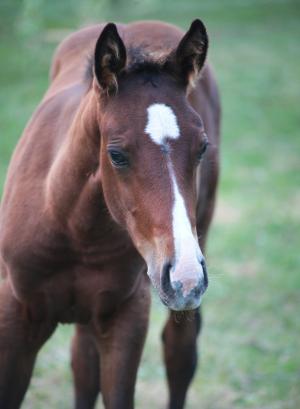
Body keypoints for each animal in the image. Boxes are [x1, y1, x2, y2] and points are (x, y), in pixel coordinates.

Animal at [0, 18, 220, 408]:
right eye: (116, 154)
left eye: (202, 148)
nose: (185, 276)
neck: (70, 224)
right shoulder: (16, 314)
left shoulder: (127, 315)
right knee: (84, 365)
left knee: (179, 351)